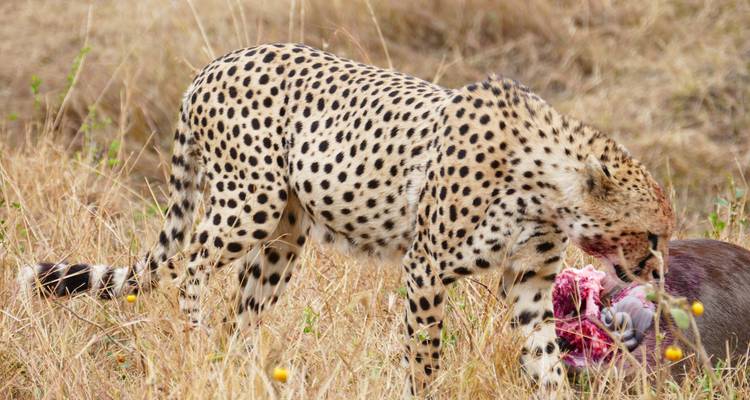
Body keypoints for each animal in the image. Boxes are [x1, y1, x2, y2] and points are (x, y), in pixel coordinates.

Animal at [19, 43, 674, 398]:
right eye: (652, 233)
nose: (657, 268)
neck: (549, 187)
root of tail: (217, 61)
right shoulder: (426, 268)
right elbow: (425, 354)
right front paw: (422, 390)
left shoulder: (530, 287)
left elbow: (545, 361)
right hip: (248, 201)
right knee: (192, 263)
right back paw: (197, 341)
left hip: (285, 233)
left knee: (244, 309)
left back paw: (240, 370)